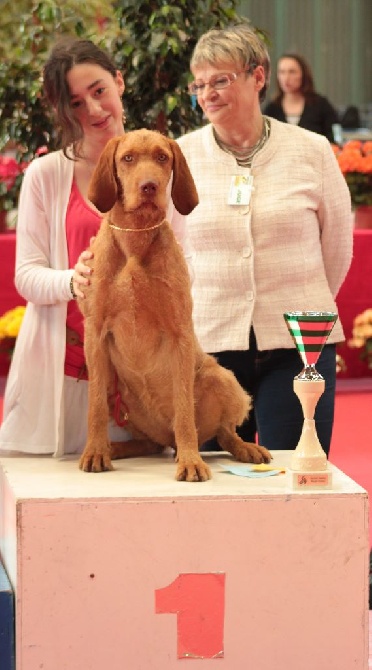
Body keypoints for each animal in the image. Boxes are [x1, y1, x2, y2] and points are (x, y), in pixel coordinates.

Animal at [77, 129, 270, 480]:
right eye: (127, 158)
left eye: (162, 157)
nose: (149, 186)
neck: (137, 235)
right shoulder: (95, 333)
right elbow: (95, 406)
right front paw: (96, 451)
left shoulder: (179, 333)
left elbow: (184, 411)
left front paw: (191, 460)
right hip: (122, 397)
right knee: (150, 442)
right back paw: (117, 447)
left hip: (221, 378)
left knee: (222, 431)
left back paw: (243, 448)